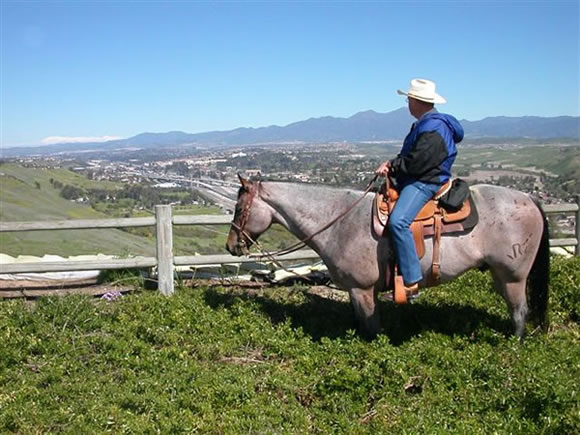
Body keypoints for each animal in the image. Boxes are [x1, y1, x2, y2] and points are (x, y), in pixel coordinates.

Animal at [227, 177, 548, 340]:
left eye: (239, 208)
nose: (231, 245)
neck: (338, 220)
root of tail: (529, 199)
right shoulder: (359, 291)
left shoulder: (362, 289)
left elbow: (371, 329)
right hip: (499, 274)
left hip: (513, 276)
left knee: (519, 311)